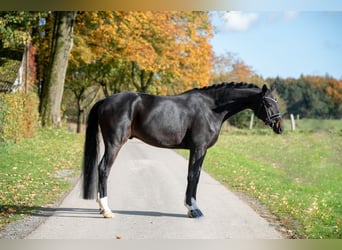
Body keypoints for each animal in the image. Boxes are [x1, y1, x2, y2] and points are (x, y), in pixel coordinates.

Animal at [82, 82, 284, 219]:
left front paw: (192, 207)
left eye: (276, 101)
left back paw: (101, 207)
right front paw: (193, 209)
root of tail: (104, 100)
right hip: (114, 143)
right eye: (267, 103)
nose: (280, 127)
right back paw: (106, 210)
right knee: (103, 169)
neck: (211, 108)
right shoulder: (199, 148)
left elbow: (196, 176)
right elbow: (193, 176)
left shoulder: (200, 150)